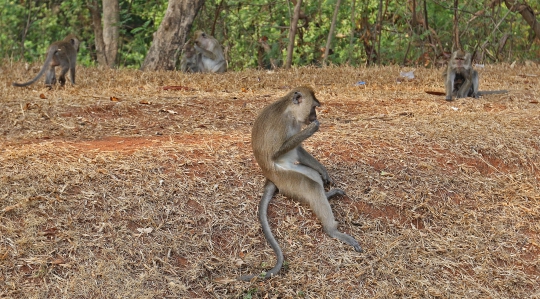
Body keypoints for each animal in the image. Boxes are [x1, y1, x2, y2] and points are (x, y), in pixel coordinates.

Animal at [238, 86, 360, 284]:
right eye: (314, 107)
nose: (315, 115)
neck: (290, 111)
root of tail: (270, 177)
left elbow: (300, 150)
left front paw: (324, 172)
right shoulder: (282, 124)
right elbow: (275, 152)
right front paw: (312, 128)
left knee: (313, 178)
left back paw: (327, 194)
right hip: (285, 179)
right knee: (311, 187)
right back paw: (332, 230)